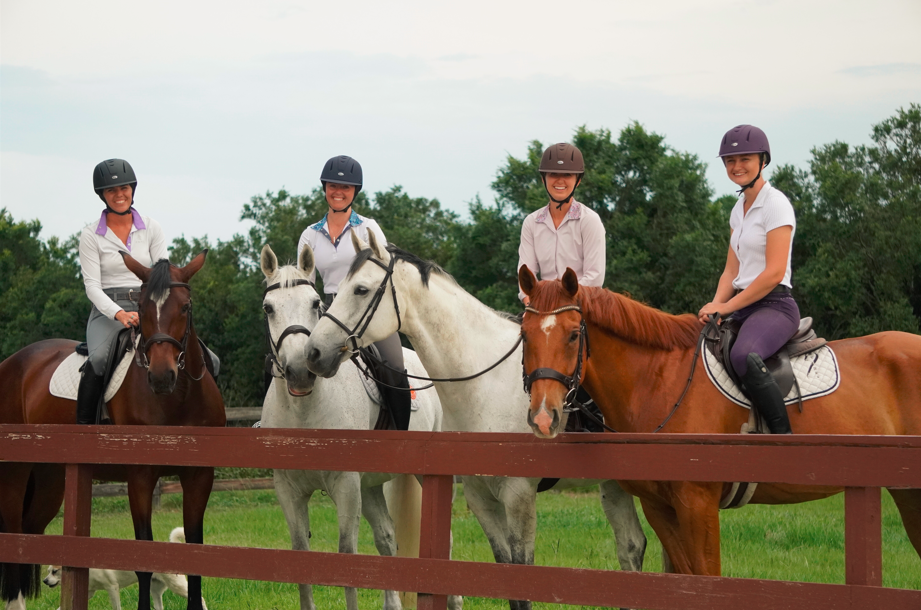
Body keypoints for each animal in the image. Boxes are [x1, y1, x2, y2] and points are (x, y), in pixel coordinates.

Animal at [0, 251, 224, 610]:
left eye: (185, 307)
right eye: (142, 309)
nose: (162, 377)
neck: (177, 399)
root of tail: (13, 363)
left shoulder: (199, 476)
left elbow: (194, 551)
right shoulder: (140, 476)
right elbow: (143, 553)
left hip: (50, 480)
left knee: (30, 535)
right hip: (14, 474)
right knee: (13, 539)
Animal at [258, 244, 461, 610]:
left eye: (315, 304)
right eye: (269, 308)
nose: (300, 370)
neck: (304, 411)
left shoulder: (346, 484)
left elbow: (347, 555)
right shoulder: (289, 489)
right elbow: (300, 555)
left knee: (446, 538)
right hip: (370, 486)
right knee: (386, 537)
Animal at [303, 230, 649, 610]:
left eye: (361, 289)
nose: (313, 353)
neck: (484, 382)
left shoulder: (518, 495)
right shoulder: (479, 495)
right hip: (614, 485)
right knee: (631, 548)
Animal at [517, 265, 921, 576]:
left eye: (573, 335)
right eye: (524, 334)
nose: (543, 417)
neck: (659, 380)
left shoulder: (698, 503)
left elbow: (707, 578)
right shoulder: (659, 506)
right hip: (906, 491)